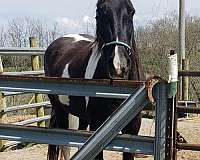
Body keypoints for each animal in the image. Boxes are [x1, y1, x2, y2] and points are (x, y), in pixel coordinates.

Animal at [43, 0, 145, 159]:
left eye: (131, 11)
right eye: (99, 12)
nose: (118, 65)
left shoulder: (132, 130)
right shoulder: (97, 126)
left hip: (82, 117)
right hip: (61, 111)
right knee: (65, 146)